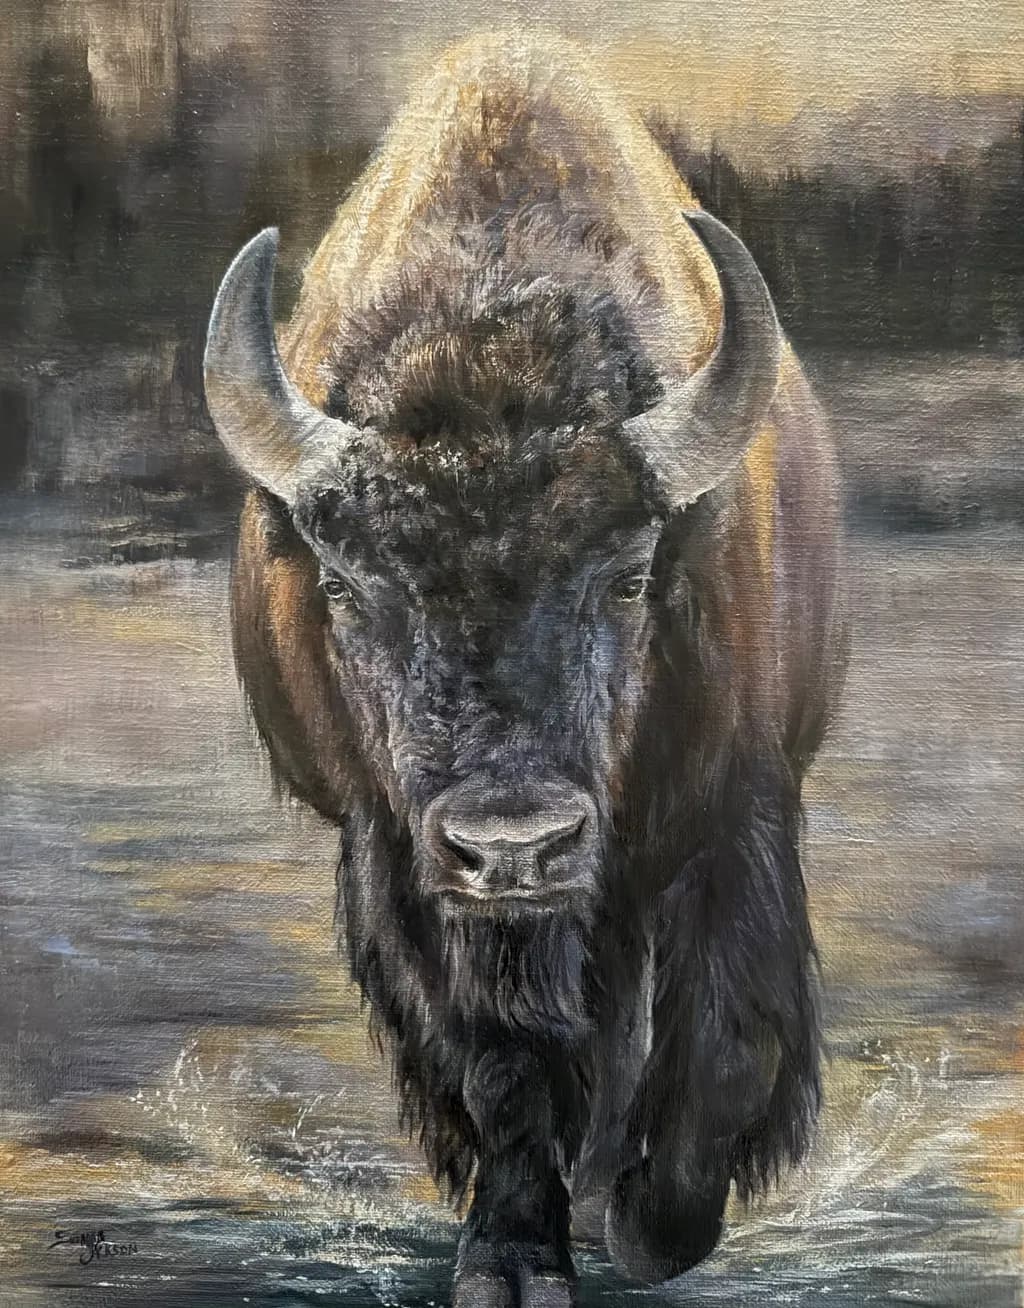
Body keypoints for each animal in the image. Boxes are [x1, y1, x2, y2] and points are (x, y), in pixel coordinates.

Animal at [204, 32, 846, 1306]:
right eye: (344, 586)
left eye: (631, 575)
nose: (513, 843)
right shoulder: (400, 859)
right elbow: (501, 1059)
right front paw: (511, 1260)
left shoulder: (732, 812)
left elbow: (729, 1039)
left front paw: (646, 1223)